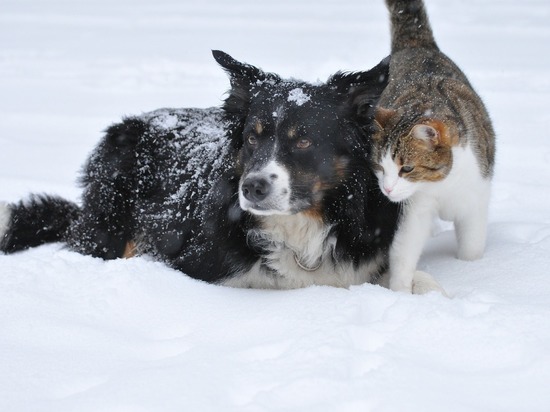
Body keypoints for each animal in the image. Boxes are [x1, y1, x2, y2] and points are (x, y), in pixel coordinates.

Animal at [0, 51, 446, 292]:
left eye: (304, 141)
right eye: (252, 137)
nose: (252, 188)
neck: (299, 229)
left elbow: (412, 279)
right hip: (110, 219)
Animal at [374, 0, 498, 292]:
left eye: (407, 168)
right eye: (380, 167)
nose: (387, 189)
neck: (443, 184)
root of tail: (415, 45)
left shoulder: (476, 197)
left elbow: (472, 246)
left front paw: (473, 270)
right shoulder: (415, 207)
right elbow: (404, 248)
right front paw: (399, 291)